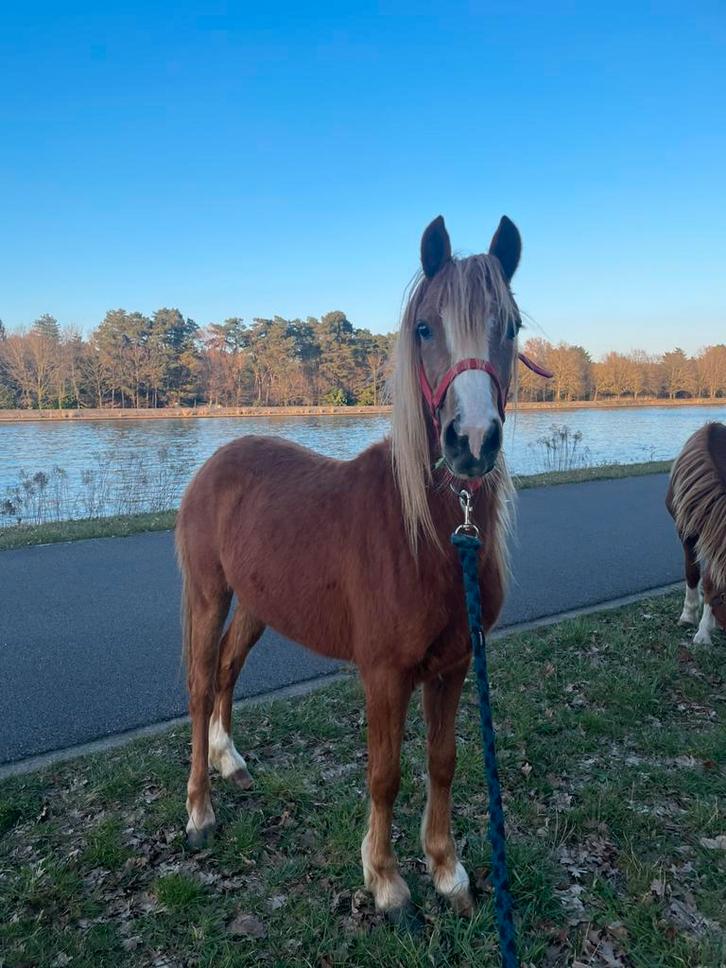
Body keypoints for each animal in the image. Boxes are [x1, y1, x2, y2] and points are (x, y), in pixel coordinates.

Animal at [176, 214, 528, 919]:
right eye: (425, 327)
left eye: (511, 325)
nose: (472, 441)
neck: (427, 536)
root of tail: (215, 463)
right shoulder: (385, 676)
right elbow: (384, 773)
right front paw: (386, 879)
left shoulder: (454, 665)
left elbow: (443, 761)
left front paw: (447, 869)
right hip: (208, 595)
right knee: (201, 686)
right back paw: (200, 810)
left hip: (257, 605)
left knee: (227, 670)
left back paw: (231, 761)